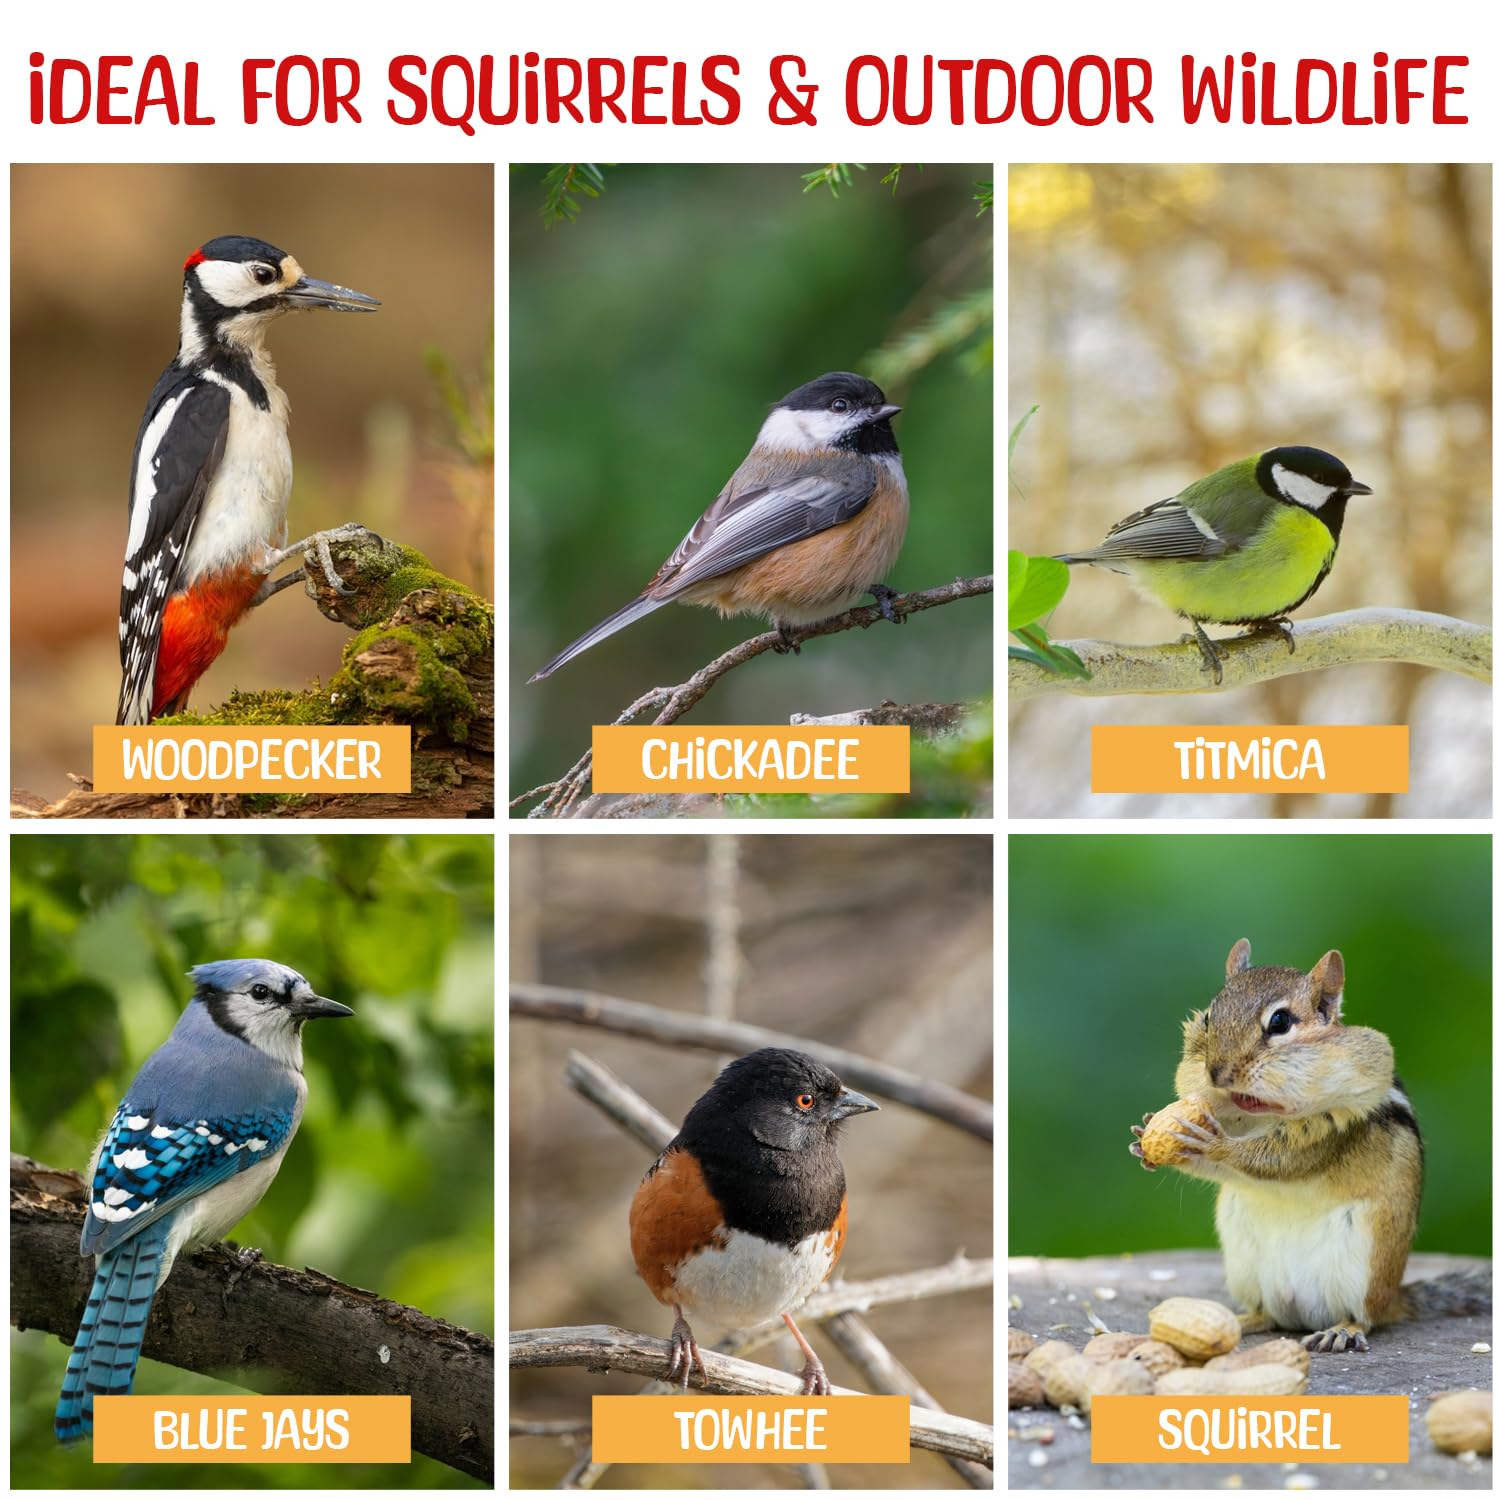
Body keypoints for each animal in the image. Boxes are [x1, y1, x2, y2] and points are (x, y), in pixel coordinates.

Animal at [1129, 937, 1490, 1353]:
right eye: (1208, 1017)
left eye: (1280, 1022)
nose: (1216, 1074)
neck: (1262, 1114)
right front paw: (1145, 1137)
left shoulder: (1332, 1129)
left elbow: (1279, 1159)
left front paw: (1214, 1143)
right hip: (1244, 1265)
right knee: (1266, 1315)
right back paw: (1240, 1320)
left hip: (1365, 1264)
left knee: (1366, 1317)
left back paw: (1343, 1329)